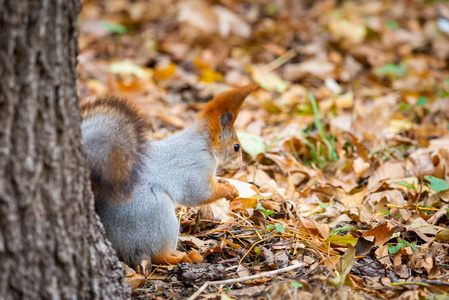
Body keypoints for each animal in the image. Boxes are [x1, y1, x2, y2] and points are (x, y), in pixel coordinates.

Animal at [79, 84, 258, 270]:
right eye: (236, 147)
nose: (241, 166)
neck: (204, 145)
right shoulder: (195, 167)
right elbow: (200, 193)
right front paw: (228, 189)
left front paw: (228, 184)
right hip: (157, 214)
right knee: (158, 256)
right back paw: (184, 258)